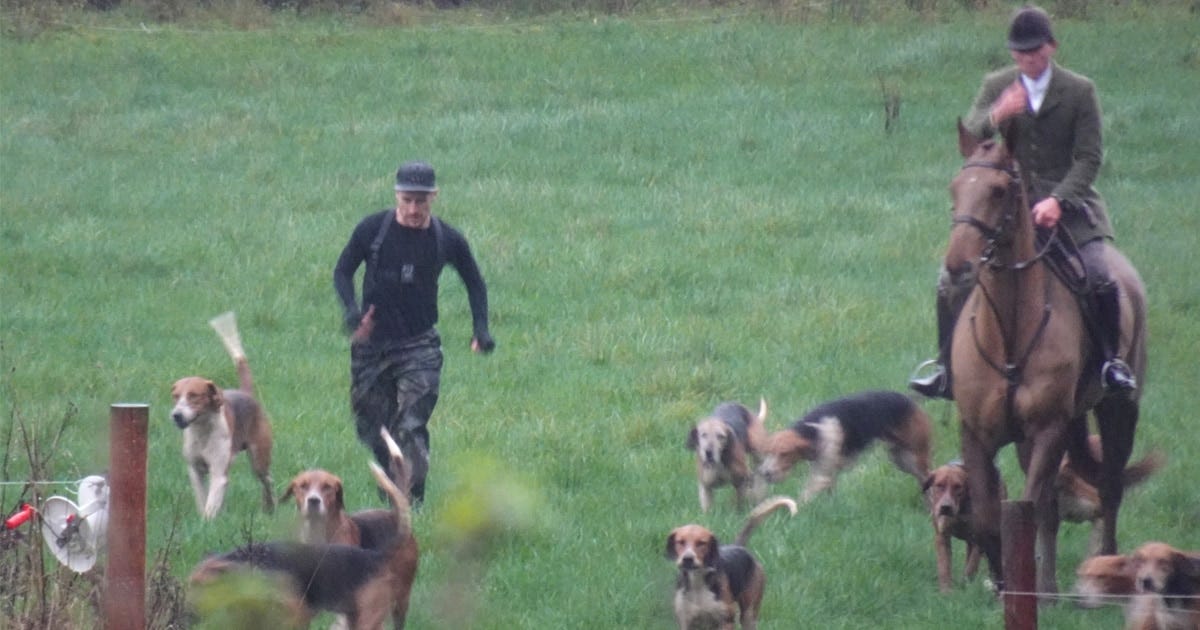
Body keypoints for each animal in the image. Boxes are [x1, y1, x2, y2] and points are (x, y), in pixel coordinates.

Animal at [945, 121, 1142, 595]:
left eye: (999, 190)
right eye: (955, 188)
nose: (957, 266)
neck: (1010, 332)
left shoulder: (1049, 427)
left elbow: (1031, 508)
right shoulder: (977, 432)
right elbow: (989, 518)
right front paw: (1002, 581)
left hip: (1117, 410)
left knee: (1109, 489)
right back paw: (1047, 584)